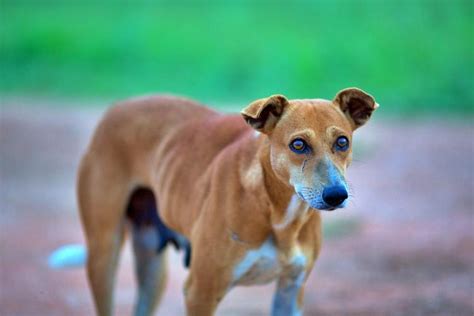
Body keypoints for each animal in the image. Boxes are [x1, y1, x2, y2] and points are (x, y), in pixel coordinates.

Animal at [78, 87, 378, 314]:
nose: (337, 195)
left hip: (153, 269)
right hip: (104, 256)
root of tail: (120, 105)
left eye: (342, 142)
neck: (277, 213)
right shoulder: (200, 292)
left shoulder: (291, 291)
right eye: (298, 144)